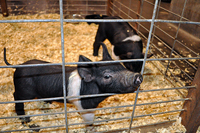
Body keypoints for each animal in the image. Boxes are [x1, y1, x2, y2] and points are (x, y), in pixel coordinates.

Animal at [2, 42, 141, 128]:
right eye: (107, 76)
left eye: (121, 66)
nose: (137, 76)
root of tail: (19, 66)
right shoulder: (83, 104)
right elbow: (88, 119)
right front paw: (91, 127)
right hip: (24, 90)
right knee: (16, 96)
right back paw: (26, 119)